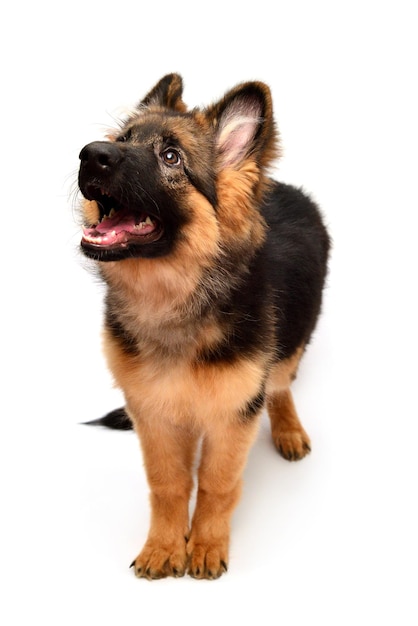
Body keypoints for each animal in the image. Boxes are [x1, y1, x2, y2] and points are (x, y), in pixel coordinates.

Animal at [77, 72, 330, 576]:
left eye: (171, 157)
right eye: (123, 140)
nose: (91, 153)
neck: (175, 301)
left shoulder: (234, 415)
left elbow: (217, 485)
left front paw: (208, 544)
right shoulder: (152, 412)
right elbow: (169, 484)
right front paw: (163, 546)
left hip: (293, 341)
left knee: (281, 386)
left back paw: (288, 429)